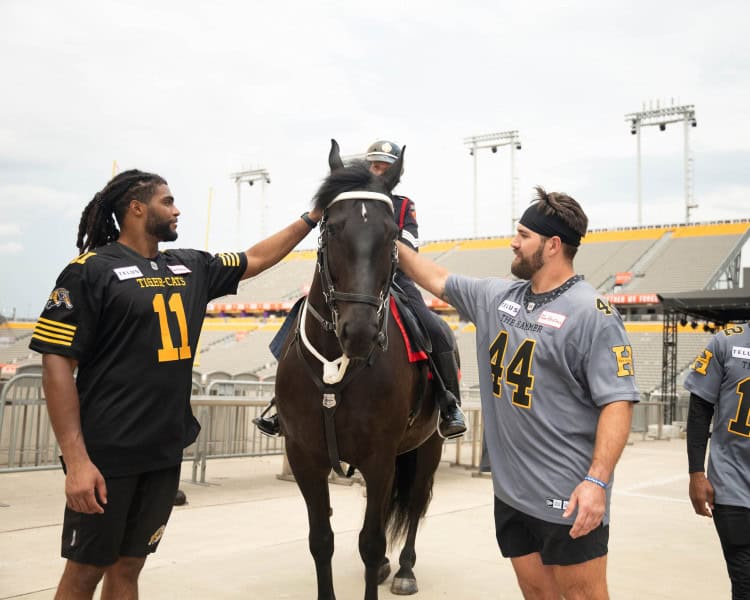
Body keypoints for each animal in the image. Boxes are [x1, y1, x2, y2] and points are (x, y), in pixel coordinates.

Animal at [278, 141, 450, 600]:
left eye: (392, 234)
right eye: (332, 227)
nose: (360, 332)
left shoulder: (379, 457)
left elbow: (370, 542)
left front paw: (384, 562)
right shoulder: (304, 456)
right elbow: (322, 540)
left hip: (427, 447)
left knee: (415, 504)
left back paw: (404, 568)